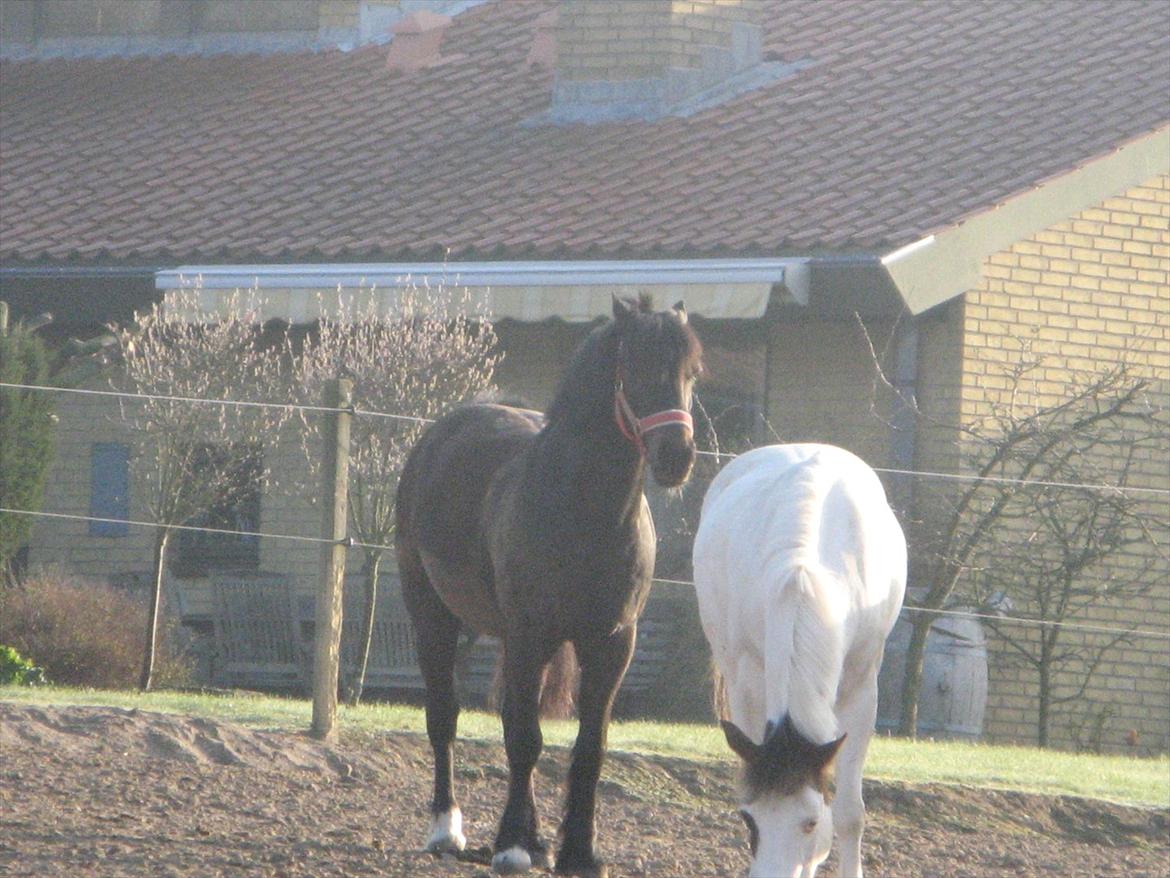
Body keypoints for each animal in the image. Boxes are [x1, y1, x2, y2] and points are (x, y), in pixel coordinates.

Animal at [393, 297, 702, 878]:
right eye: (635, 366)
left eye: (691, 371)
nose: (677, 455)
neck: (586, 513)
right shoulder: (529, 633)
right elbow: (524, 739)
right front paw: (512, 846)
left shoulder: (611, 643)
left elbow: (589, 748)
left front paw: (579, 852)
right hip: (434, 618)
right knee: (445, 715)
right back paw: (448, 828)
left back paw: (534, 841)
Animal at [692, 447, 903, 878]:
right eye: (749, 818)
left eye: (810, 822)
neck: (806, 576)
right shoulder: (747, 684)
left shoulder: (861, 687)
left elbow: (848, 814)